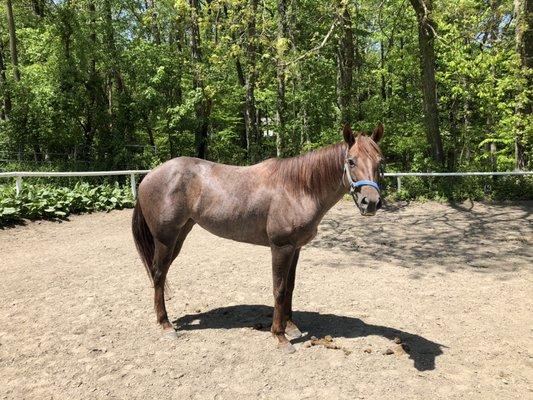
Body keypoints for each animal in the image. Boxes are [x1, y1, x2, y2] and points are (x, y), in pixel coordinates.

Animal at [131, 122, 384, 354]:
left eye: (380, 162)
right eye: (351, 161)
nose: (370, 202)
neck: (297, 188)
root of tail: (149, 176)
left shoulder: (295, 248)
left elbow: (290, 287)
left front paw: (291, 326)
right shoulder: (281, 247)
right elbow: (279, 289)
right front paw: (280, 337)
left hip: (180, 235)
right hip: (165, 239)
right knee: (158, 274)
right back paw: (166, 325)